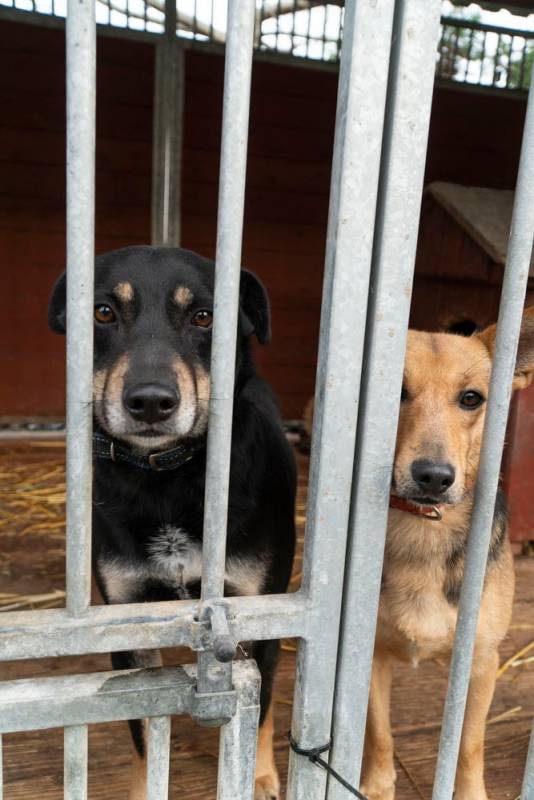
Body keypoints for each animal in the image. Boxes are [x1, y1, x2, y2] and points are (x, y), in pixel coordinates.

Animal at [48, 245, 296, 800]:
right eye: (102, 312)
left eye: (204, 316)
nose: (150, 402)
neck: (168, 479)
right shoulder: (127, 622)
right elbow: (145, 730)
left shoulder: (260, 611)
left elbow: (260, 706)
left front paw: (258, 775)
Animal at [360, 307, 534, 800]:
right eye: (394, 392)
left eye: (472, 398)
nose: (434, 477)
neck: (425, 527)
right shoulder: (372, 656)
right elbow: (379, 733)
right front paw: (377, 785)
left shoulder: (481, 664)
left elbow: (469, 742)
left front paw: (470, 792)